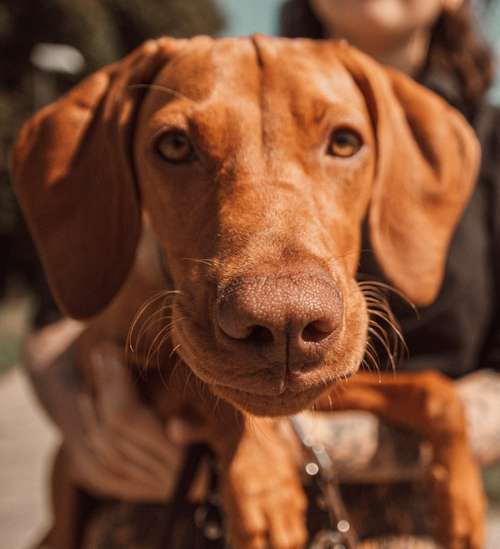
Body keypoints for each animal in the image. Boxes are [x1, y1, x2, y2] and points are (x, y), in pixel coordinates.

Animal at [12, 36, 484, 544]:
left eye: (345, 142)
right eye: (174, 146)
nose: (286, 323)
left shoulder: (329, 385)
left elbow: (434, 390)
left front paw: (461, 499)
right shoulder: (100, 362)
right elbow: (197, 381)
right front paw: (264, 482)